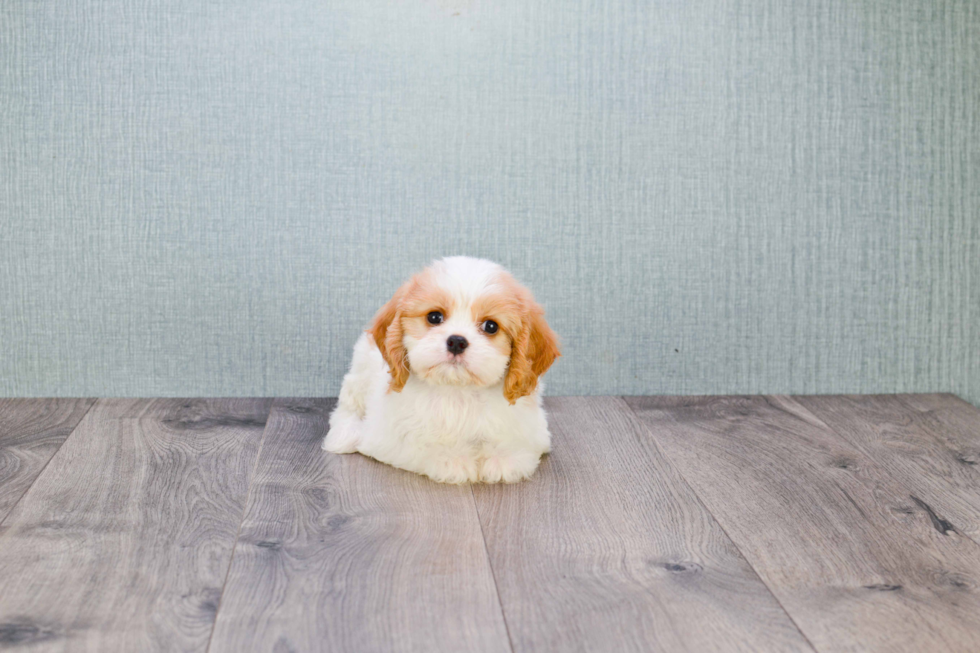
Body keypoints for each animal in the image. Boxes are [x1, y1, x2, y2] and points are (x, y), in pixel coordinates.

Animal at [324, 258, 560, 482]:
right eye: (434, 317)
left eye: (491, 326)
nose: (456, 341)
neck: (457, 390)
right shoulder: (387, 437)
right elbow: (421, 445)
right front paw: (452, 459)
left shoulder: (534, 429)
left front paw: (503, 457)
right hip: (359, 374)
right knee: (346, 408)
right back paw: (345, 434)